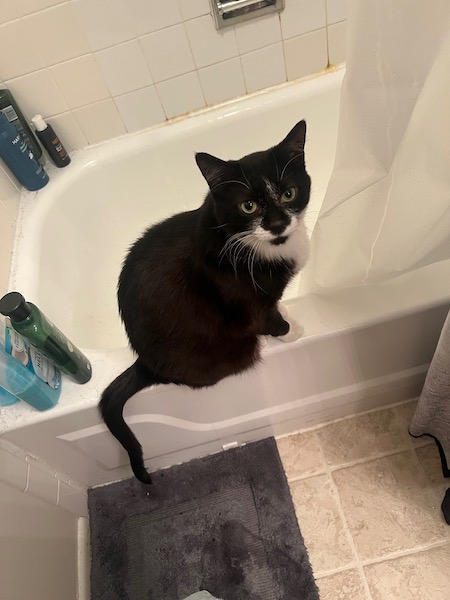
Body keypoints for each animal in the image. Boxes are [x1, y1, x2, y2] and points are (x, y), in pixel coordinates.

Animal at [100, 118, 312, 482]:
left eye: (289, 193)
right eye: (248, 206)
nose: (277, 224)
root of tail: (144, 364)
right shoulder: (246, 300)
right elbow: (267, 318)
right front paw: (291, 329)